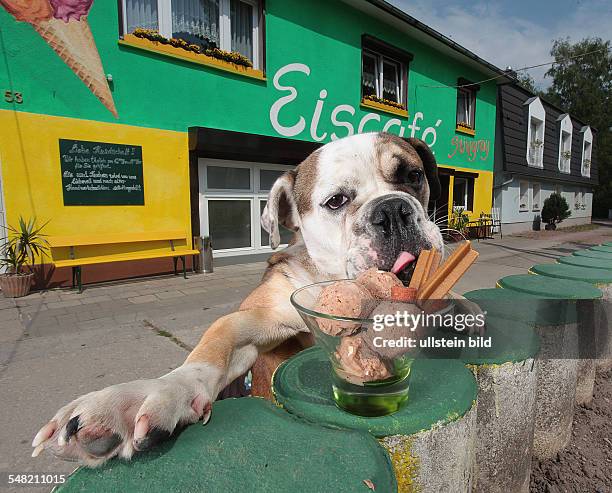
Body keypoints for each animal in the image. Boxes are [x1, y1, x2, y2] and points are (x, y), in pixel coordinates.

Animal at [33, 132, 466, 466]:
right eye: (337, 201)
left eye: (413, 176)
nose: (392, 209)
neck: (328, 282)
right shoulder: (262, 318)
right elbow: (215, 343)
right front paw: (147, 395)